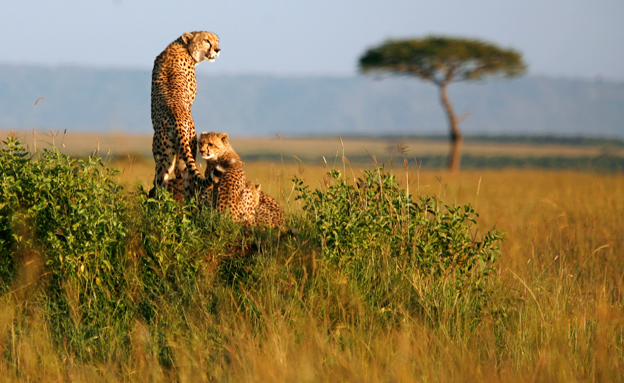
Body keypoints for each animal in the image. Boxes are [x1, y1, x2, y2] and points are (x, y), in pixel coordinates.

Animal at [150, 31, 221, 200]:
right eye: (207, 40)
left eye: (217, 41)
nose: (217, 50)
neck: (182, 46)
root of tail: (178, 121)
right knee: (185, 184)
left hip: (165, 157)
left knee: (162, 184)